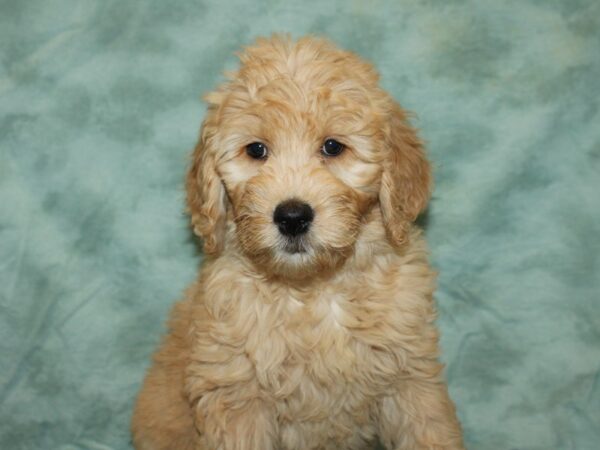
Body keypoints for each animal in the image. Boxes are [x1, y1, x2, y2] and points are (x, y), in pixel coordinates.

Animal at [131, 35, 464, 450]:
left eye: (333, 147)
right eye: (256, 150)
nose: (292, 217)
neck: (312, 291)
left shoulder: (410, 377)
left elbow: (429, 431)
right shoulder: (237, 394)